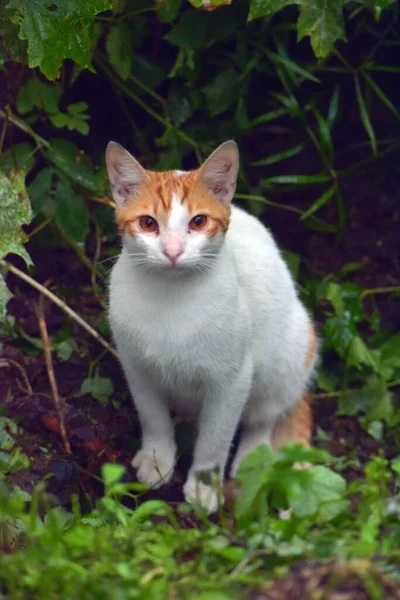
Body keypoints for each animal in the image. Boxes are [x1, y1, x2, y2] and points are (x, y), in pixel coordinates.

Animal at [107, 139, 318, 510]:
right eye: (148, 223)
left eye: (198, 221)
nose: (173, 251)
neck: (170, 299)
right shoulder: (136, 367)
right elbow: (152, 416)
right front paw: (158, 458)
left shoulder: (232, 381)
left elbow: (216, 438)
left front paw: (204, 485)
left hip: (292, 351)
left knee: (265, 415)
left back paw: (253, 455)